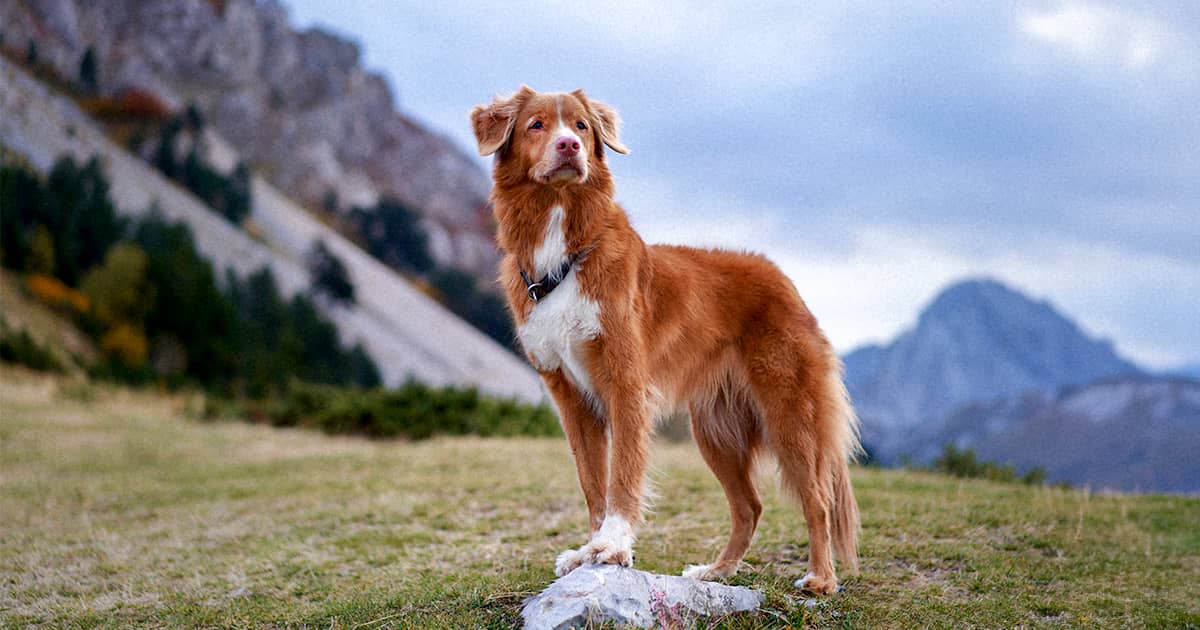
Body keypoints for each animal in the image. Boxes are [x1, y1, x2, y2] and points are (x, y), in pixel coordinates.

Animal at [470, 85, 864, 592]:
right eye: (537, 125)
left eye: (581, 126)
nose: (570, 146)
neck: (563, 240)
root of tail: (782, 277)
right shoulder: (570, 397)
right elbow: (592, 482)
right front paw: (589, 550)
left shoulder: (625, 383)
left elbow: (621, 476)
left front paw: (612, 547)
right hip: (715, 430)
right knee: (749, 506)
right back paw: (718, 570)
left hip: (787, 412)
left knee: (817, 498)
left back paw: (820, 578)